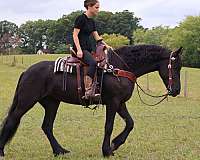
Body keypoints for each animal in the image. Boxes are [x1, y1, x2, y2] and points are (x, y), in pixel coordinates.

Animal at [0, 44, 182, 157]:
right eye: (176, 66)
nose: (176, 90)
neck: (119, 67)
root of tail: (26, 71)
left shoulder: (120, 103)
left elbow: (130, 123)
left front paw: (115, 144)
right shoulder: (113, 103)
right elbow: (109, 126)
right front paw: (107, 150)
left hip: (52, 103)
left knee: (47, 126)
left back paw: (60, 151)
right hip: (26, 102)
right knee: (11, 121)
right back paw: (2, 151)